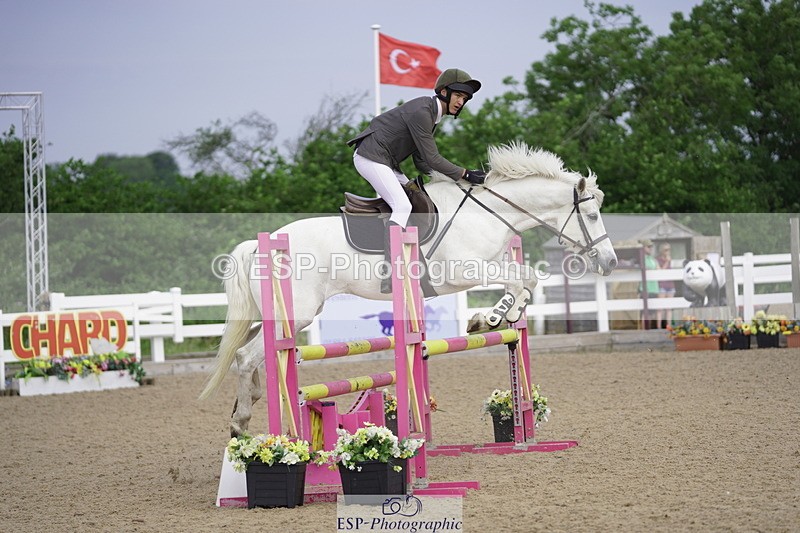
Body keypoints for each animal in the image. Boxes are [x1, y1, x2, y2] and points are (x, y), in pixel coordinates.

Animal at [199, 142, 618, 436]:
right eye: (592, 214)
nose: (610, 262)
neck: (485, 213)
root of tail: (260, 244)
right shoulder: (464, 271)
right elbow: (523, 278)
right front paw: (492, 318)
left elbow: (526, 279)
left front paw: (501, 317)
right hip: (298, 312)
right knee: (248, 356)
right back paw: (242, 422)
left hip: (282, 313)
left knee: (248, 349)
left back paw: (248, 403)